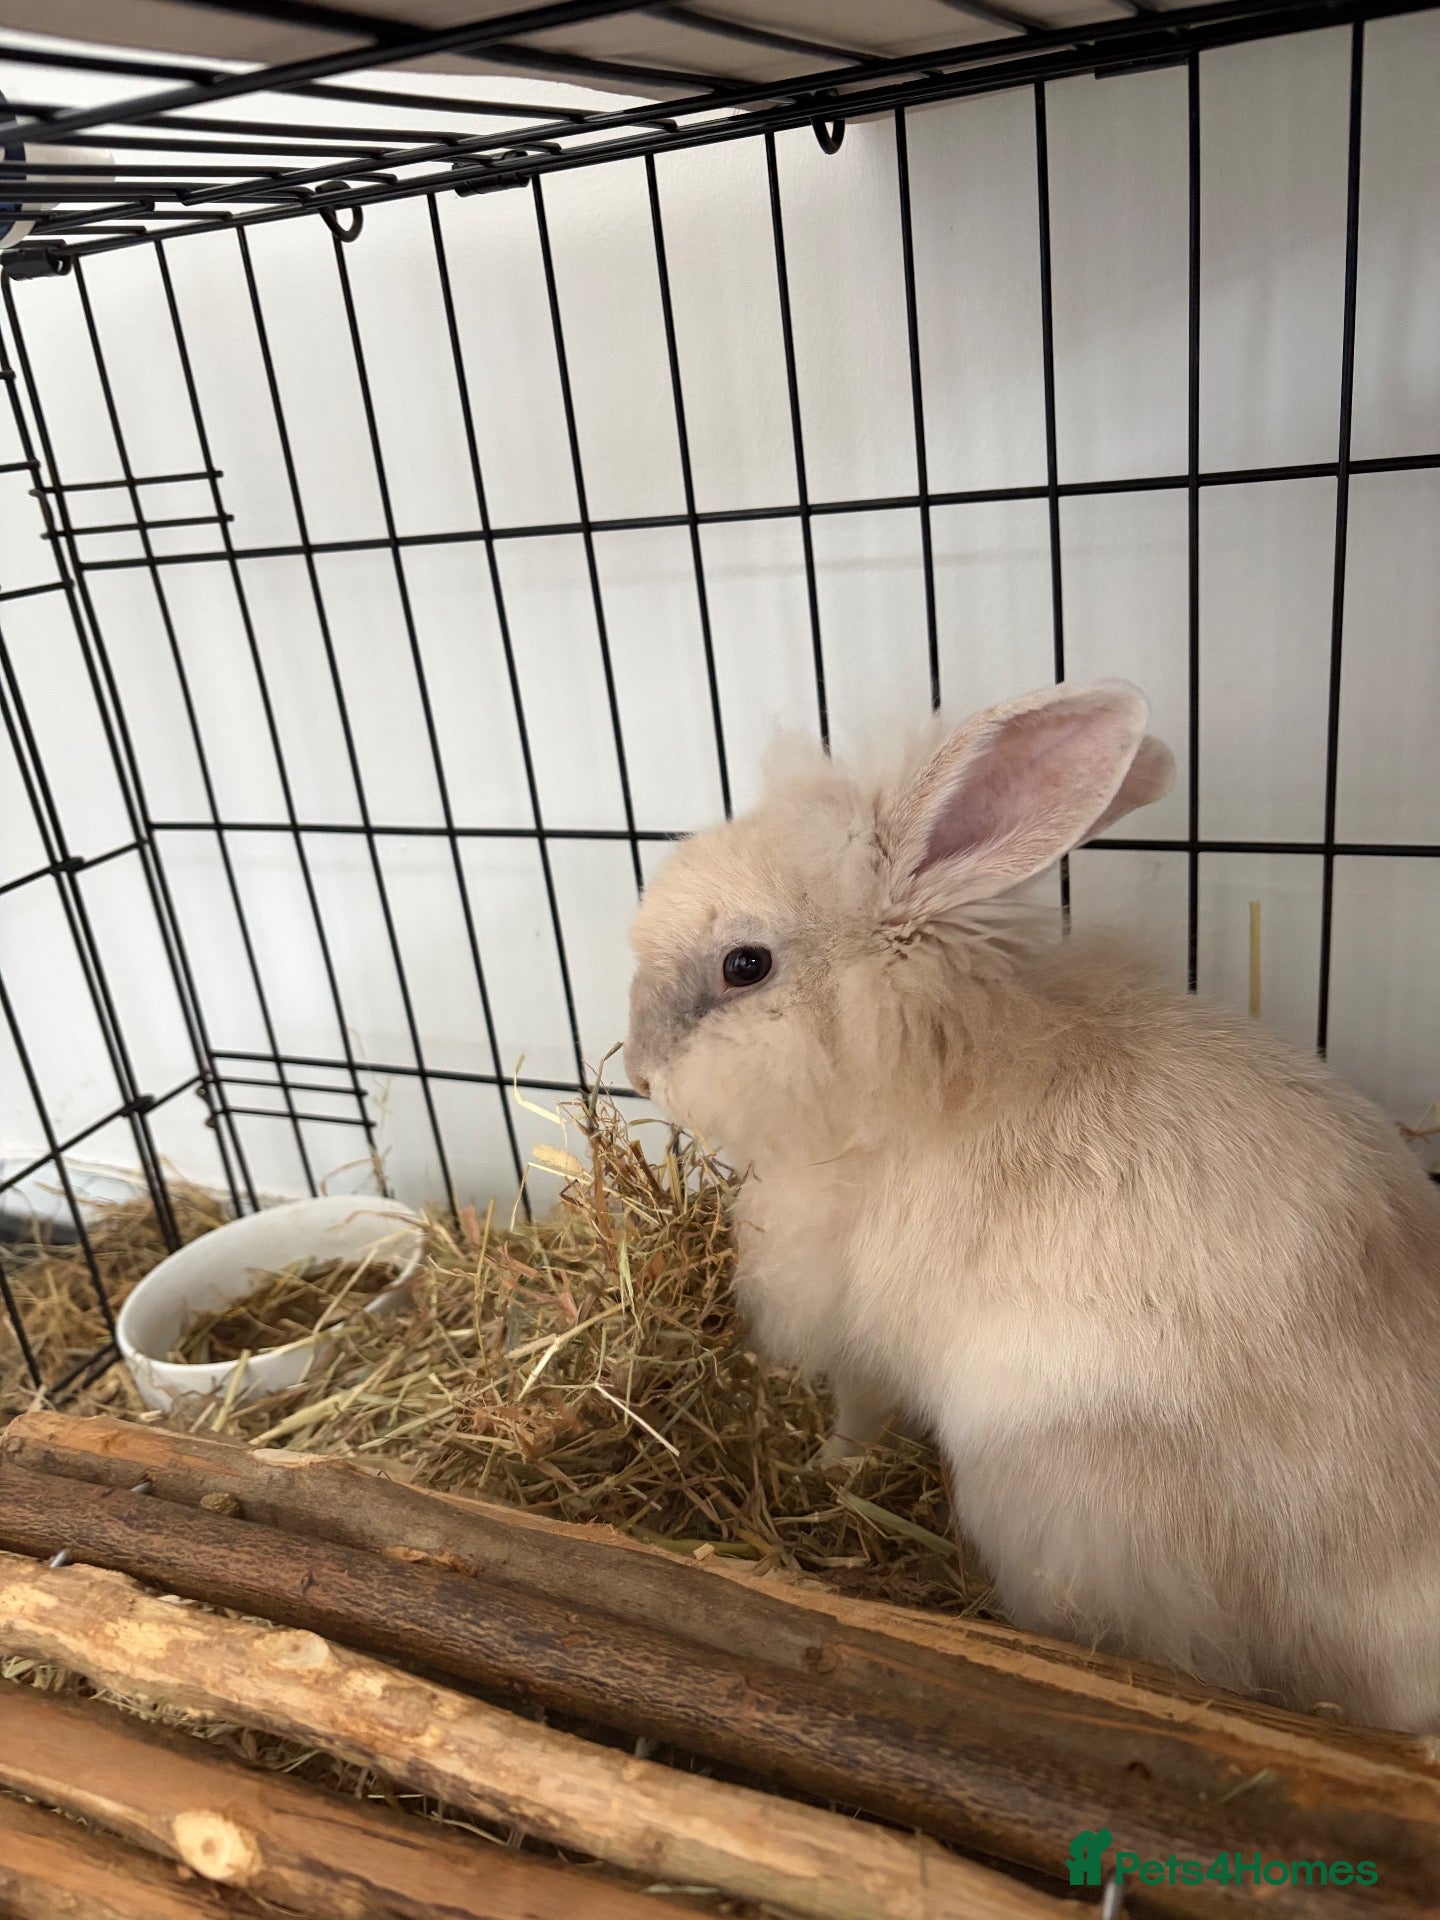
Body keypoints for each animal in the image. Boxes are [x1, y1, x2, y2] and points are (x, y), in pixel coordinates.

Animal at [624, 677, 1440, 1733]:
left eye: (745, 966)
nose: (637, 1072)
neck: (923, 1072)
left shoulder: (860, 1343)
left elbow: (856, 1417)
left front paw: (826, 1472)